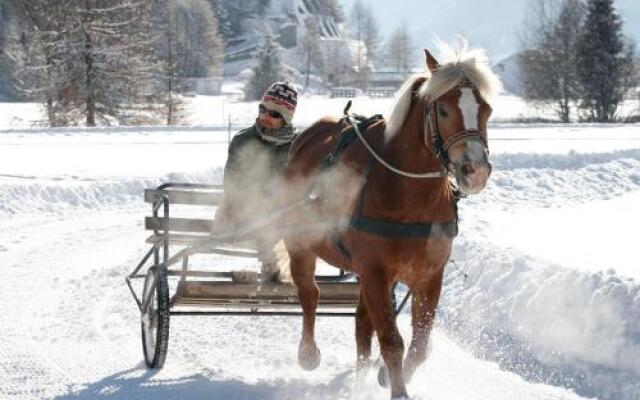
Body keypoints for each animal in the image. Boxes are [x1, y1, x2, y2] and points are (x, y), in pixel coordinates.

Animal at [280, 42, 500, 398]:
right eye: (443, 110)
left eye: (486, 110)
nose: (476, 171)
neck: (409, 194)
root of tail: (307, 135)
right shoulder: (375, 270)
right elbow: (392, 341)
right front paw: (398, 388)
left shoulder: (428, 275)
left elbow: (420, 345)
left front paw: (385, 376)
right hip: (300, 240)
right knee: (309, 292)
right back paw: (308, 353)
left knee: (361, 323)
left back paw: (360, 378)